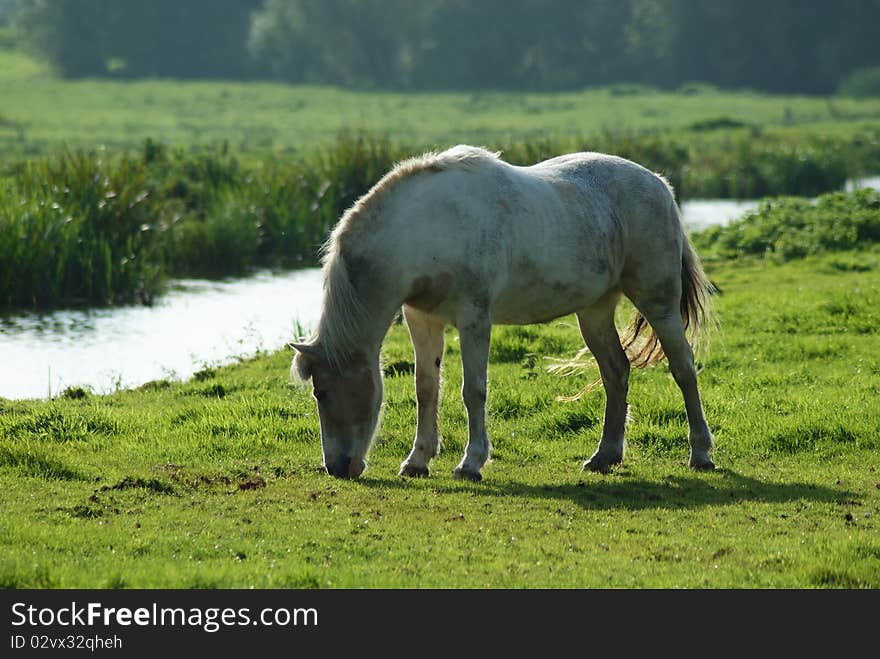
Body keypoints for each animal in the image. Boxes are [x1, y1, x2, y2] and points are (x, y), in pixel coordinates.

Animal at [290, 147, 716, 482]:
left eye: (321, 392)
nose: (337, 467)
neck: (428, 226)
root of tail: (659, 183)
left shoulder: (474, 317)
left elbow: (473, 391)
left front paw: (471, 463)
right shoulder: (422, 318)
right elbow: (426, 388)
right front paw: (417, 461)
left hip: (657, 301)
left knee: (683, 367)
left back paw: (701, 453)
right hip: (594, 311)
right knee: (616, 371)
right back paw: (605, 456)